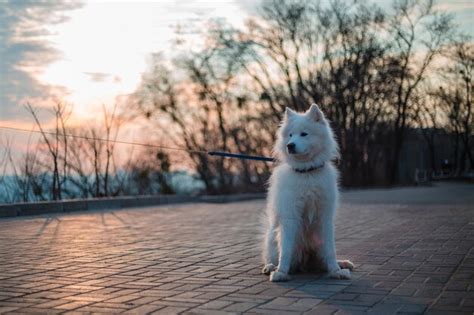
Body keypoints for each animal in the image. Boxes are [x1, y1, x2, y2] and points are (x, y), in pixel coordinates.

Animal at [262, 105, 352, 282]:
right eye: (290, 135)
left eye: (304, 134)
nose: (290, 145)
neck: (307, 172)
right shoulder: (290, 215)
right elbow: (286, 249)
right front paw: (281, 272)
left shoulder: (325, 216)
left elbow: (331, 250)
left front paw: (336, 271)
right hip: (272, 238)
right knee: (272, 257)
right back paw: (271, 267)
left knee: (323, 259)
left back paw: (341, 264)